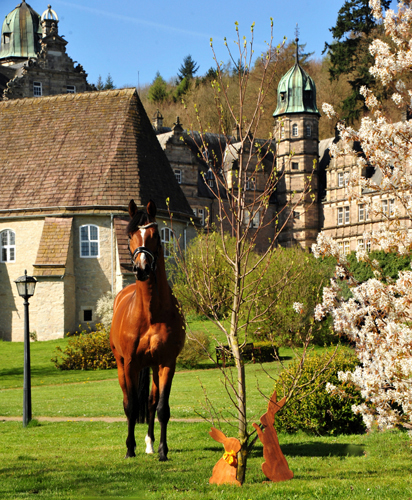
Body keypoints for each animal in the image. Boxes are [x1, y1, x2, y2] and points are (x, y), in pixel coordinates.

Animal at [110, 199, 186, 460]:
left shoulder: (166, 363)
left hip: (152, 367)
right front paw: (129, 448)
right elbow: (132, 406)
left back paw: (150, 443)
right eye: (130, 234)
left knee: (152, 403)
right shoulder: (131, 364)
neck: (151, 313)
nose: (141, 268)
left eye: (154, 234)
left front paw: (163, 450)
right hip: (121, 364)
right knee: (127, 402)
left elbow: (162, 408)